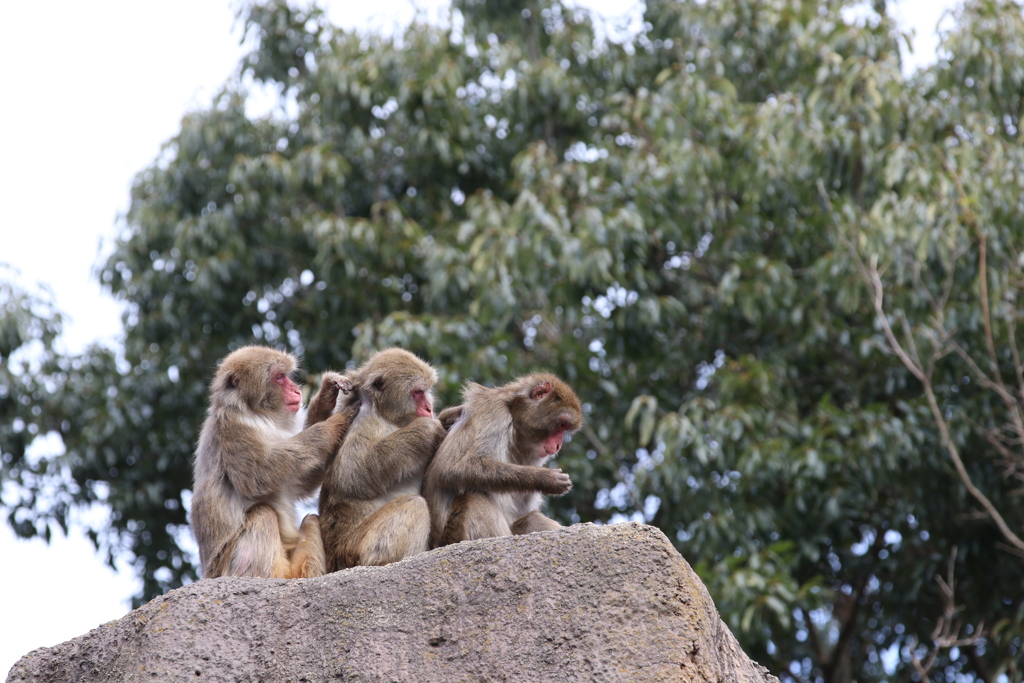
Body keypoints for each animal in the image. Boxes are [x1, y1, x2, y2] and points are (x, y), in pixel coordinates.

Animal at [192, 348, 360, 581]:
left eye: (286, 376)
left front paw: (326, 396)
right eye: (279, 377)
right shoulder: (232, 426)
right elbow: (259, 476)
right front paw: (336, 422)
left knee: (310, 521)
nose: (296, 390)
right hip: (228, 566)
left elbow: (299, 483)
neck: (256, 413)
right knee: (263, 513)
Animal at [319, 348, 448, 573]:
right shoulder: (364, 422)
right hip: (354, 549)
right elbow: (351, 476)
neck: (385, 414)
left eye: (426, 391)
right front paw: (427, 430)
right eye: (417, 392)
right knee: (414, 504)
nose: (429, 408)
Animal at [423, 370, 585, 548]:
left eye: (565, 428)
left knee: (530, 518)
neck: (514, 418)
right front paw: (546, 478)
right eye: (562, 424)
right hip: (453, 535)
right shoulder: (496, 412)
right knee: (474, 497)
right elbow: (451, 469)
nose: (558, 445)